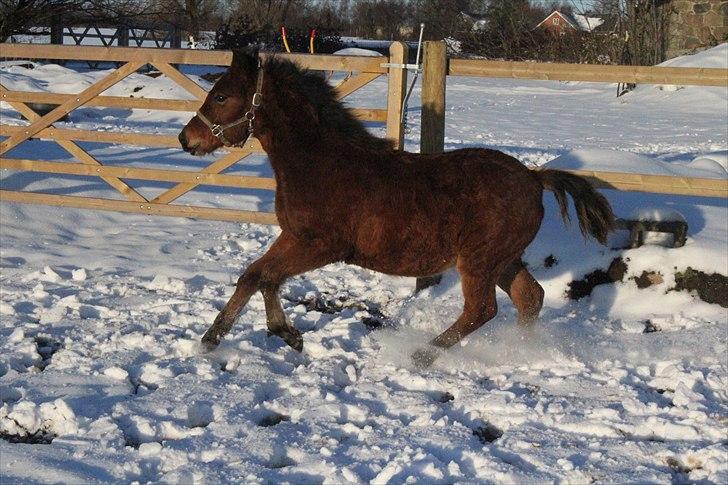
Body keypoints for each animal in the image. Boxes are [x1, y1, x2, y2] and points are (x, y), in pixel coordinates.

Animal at [178, 50, 616, 366]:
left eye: (221, 96)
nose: (186, 139)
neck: (321, 162)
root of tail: (534, 177)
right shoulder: (294, 236)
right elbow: (255, 276)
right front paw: (224, 339)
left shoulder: (322, 246)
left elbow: (266, 276)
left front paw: (280, 335)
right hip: (504, 260)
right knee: (530, 298)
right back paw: (518, 351)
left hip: (480, 260)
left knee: (482, 309)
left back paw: (422, 355)